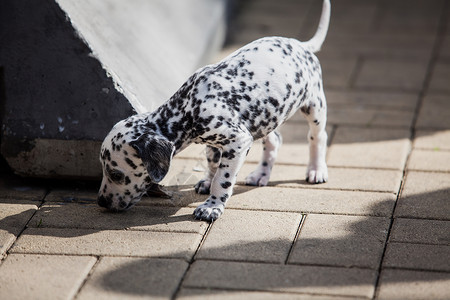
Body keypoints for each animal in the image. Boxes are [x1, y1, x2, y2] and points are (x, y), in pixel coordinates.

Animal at [97, 0, 330, 220]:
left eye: (116, 174)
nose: (101, 202)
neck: (188, 107)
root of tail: (301, 45)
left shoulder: (238, 141)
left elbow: (223, 178)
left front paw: (212, 206)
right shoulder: (217, 143)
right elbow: (212, 163)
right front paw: (207, 181)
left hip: (315, 106)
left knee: (317, 137)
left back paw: (316, 170)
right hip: (266, 116)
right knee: (274, 141)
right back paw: (261, 174)